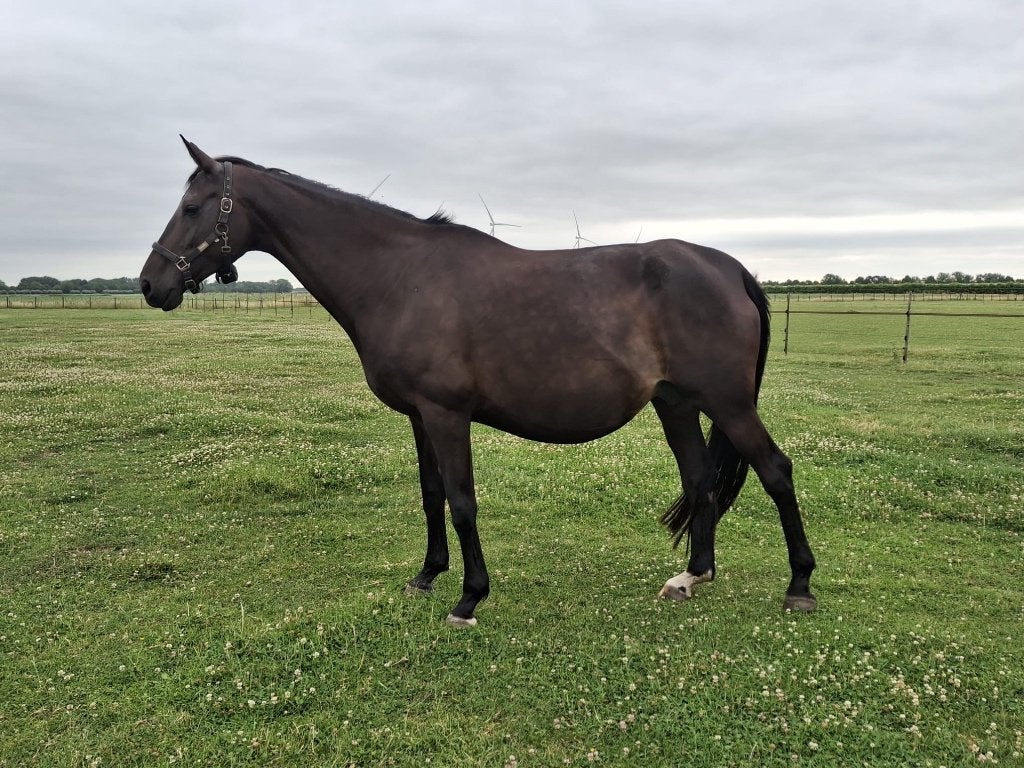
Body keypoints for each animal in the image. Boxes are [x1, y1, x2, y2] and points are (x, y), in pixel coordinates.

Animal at [140, 137, 817, 626]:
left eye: (193, 208)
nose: (151, 283)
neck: (399, 276)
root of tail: (730, 269)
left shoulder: (446, 413)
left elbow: (463, 500)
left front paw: (468, 599)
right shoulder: (419, 416)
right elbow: (432, 494)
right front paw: (426, 575)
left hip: (729, 404)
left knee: (776, 472)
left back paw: (800, 585)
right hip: (675, 404)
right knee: (700, 479)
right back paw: (692, 575)